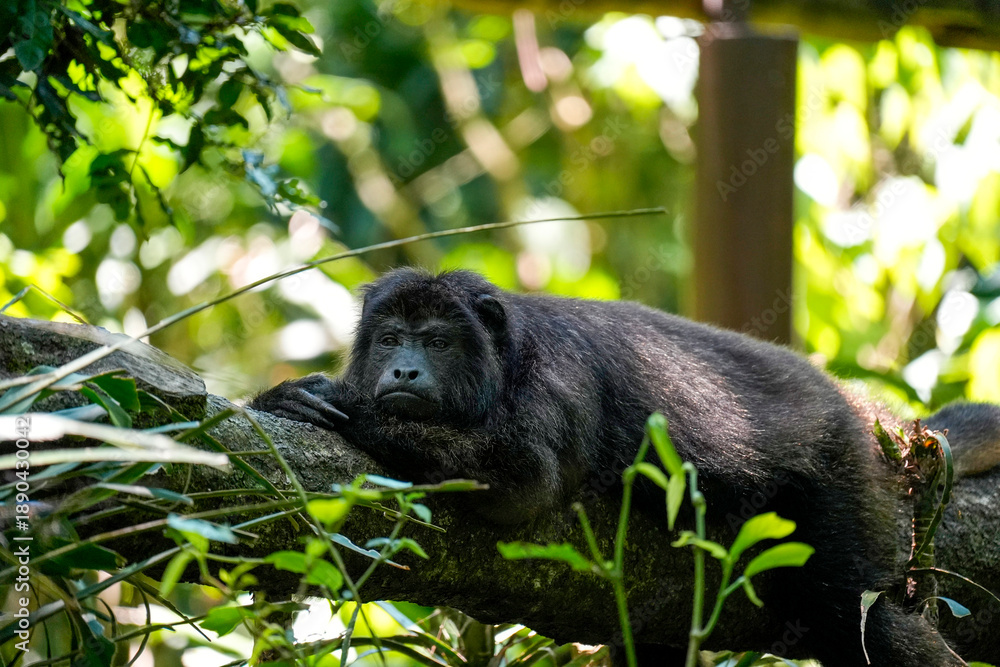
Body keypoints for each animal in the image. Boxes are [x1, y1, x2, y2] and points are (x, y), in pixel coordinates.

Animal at [250, 268, 1000, 667]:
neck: (501, 358)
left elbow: (523, 477)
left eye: (435, 342)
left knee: (860, 616)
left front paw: (324, 399)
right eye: (389, 339)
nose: (403, 369)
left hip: (845, 474)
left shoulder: (555, 378)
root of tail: (864, 411)